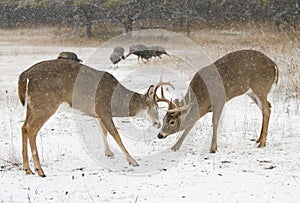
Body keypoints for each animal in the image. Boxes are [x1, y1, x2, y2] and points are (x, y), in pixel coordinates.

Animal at [17, 59, 163, 177]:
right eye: (156, 107)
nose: (158, 124)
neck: (116, 101)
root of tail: (25, 75)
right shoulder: (103, 108)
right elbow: (115, 134)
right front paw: (132, 161)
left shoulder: (98, 113)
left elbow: (103, 131)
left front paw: (108, 152)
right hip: (45, 104)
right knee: (32, 129)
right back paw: (40, 171)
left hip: (32, 106)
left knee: (24, 127)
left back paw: (27, 168)